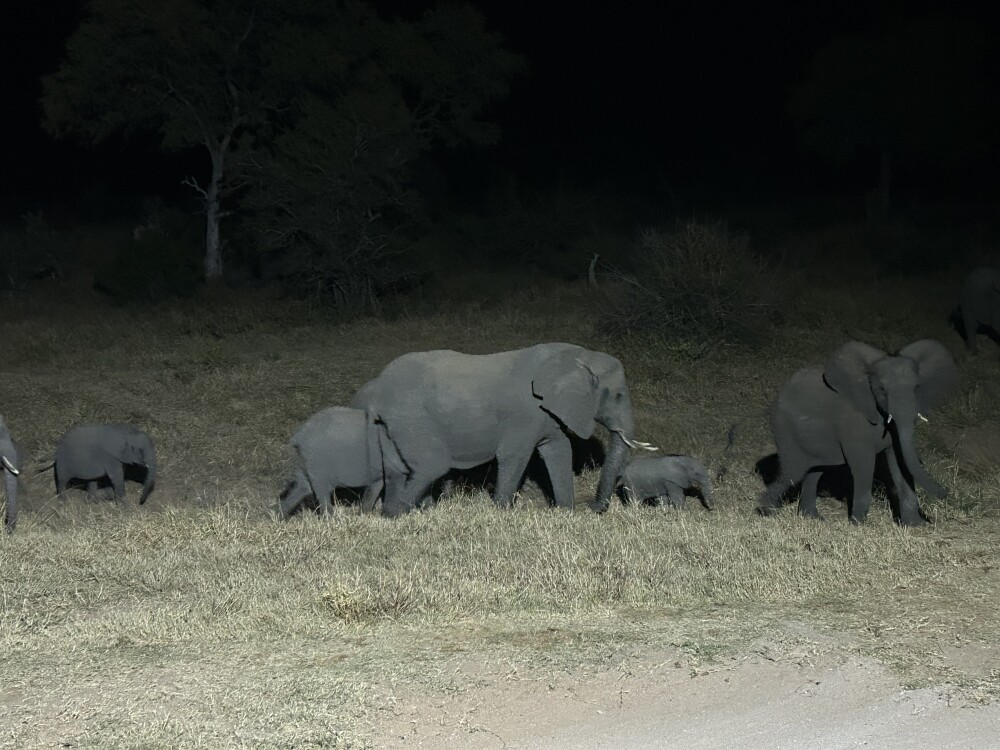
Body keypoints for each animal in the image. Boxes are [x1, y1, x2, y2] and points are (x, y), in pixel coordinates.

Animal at [351, 342, 655, 518]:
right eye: (617, 396)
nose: (593, 508)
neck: (578, 357)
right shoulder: (524, 415)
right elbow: (514, 456)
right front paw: (501, 513)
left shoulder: (548, 414)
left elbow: (559, 449)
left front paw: (565, 513)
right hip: (410, 417)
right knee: (429, 466)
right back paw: (397, 515)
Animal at [757, 339, 958, 526]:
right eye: (882, 390)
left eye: (917, 388)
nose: (946, 493)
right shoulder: (853, 423)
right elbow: (863, 464)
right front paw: (858, 525)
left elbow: (900, 462)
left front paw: (915, 526)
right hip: (785, 429)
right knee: (793, 472)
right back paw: (765, 511)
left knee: (813, 471)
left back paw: (812, 518)